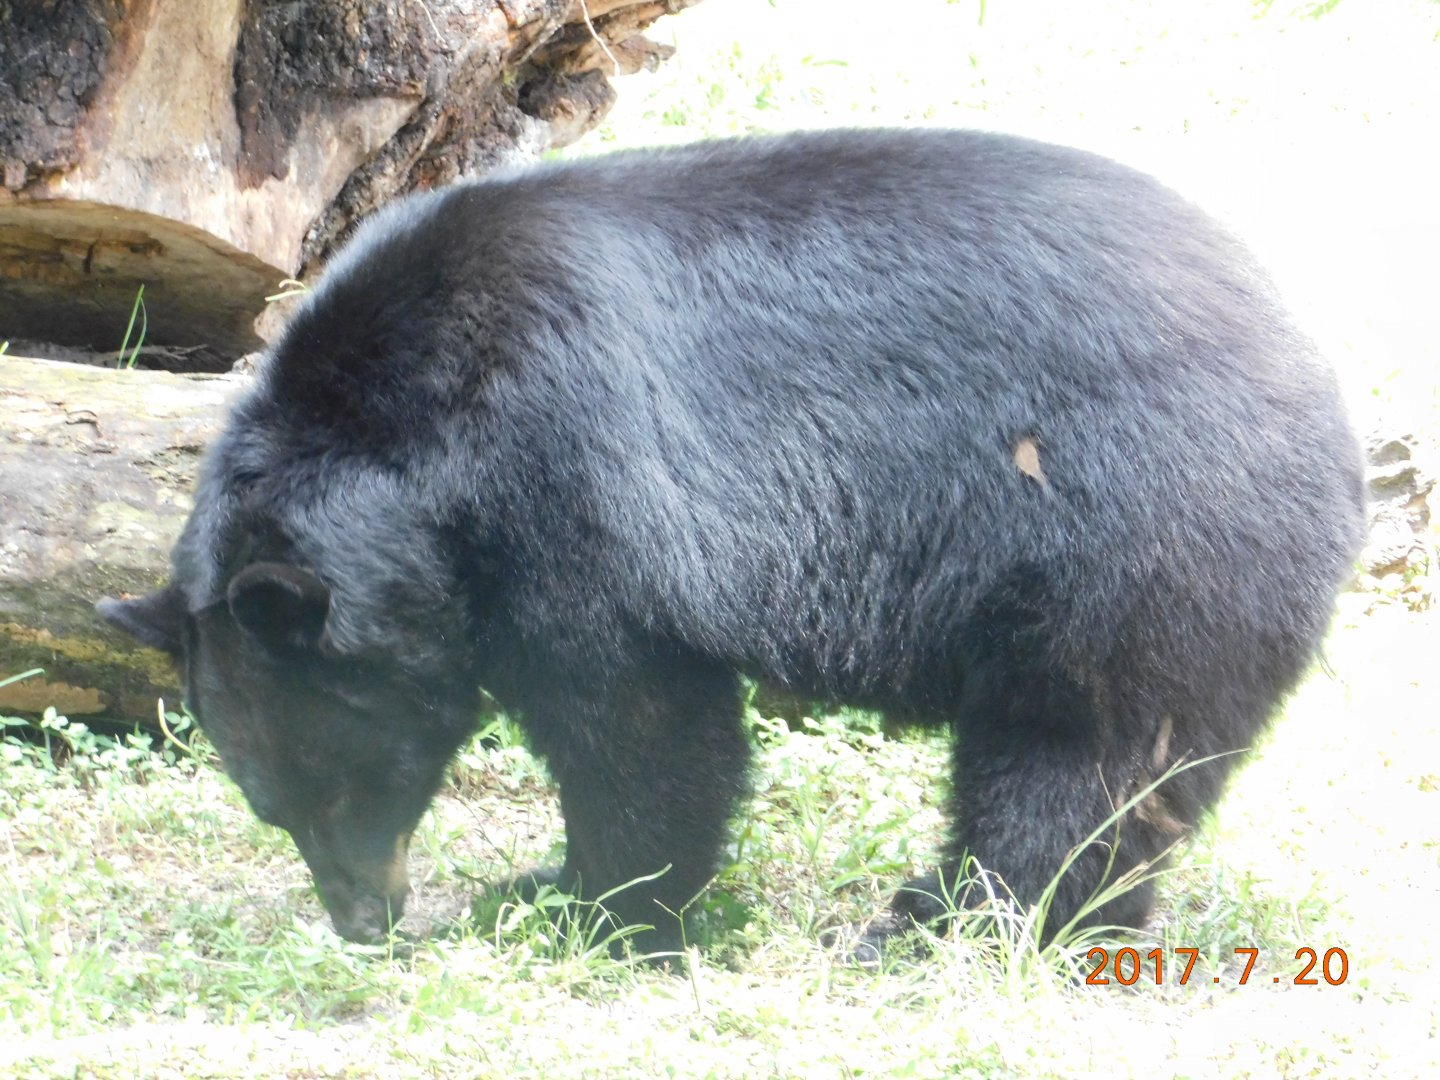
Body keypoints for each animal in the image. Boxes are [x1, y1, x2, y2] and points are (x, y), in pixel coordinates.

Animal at [98, 128, 1365, 953]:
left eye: (338, 783)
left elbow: (633, 712)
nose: (367, 921)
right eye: (273, 807)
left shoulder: (568, 468)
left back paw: (954, 919)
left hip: (1137, 537)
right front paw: (545, 884)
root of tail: (1321, 376)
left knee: (1078, 754)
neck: (407, 440)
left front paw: (607, 907)